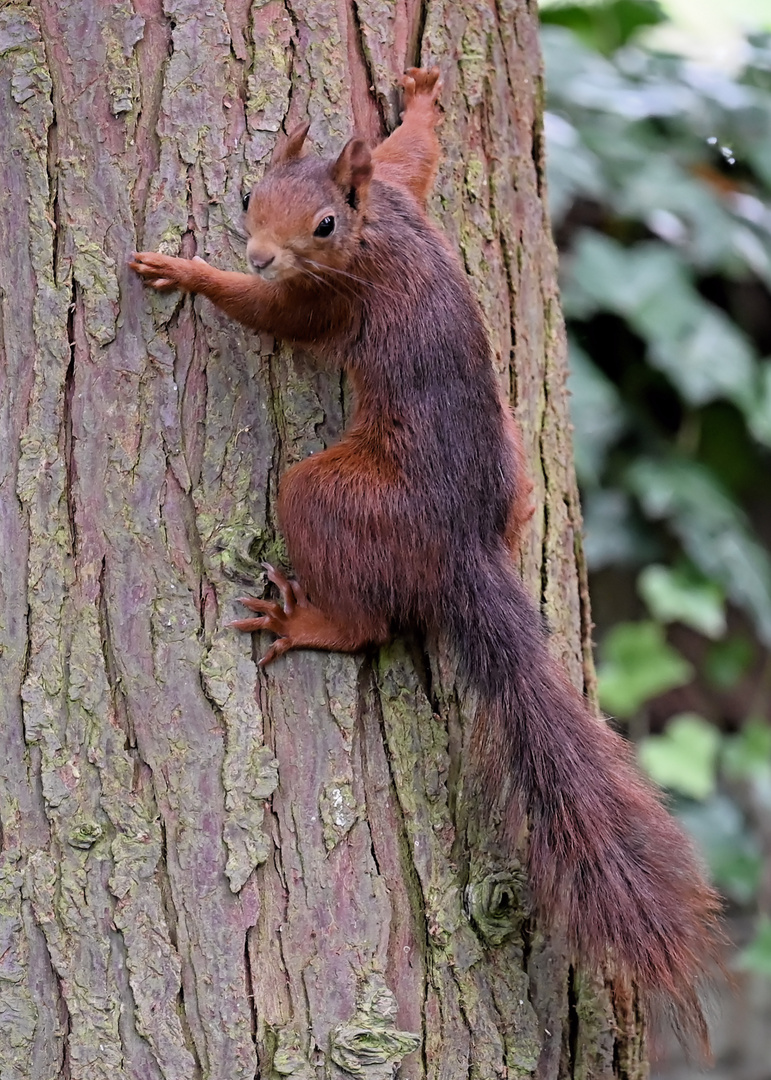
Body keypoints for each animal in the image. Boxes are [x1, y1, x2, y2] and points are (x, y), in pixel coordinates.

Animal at [129, 67, 717, 1045]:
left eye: (324, 225)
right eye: (250, 193)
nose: (258, 251)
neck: (380, 230)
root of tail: (465, 546)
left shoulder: (327, 297)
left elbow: (267, 315)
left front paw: (188, 271)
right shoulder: (404, 190)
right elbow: (414, 153)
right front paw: (421, 97)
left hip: (336, 496)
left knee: (364, 618)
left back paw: (309, 620)